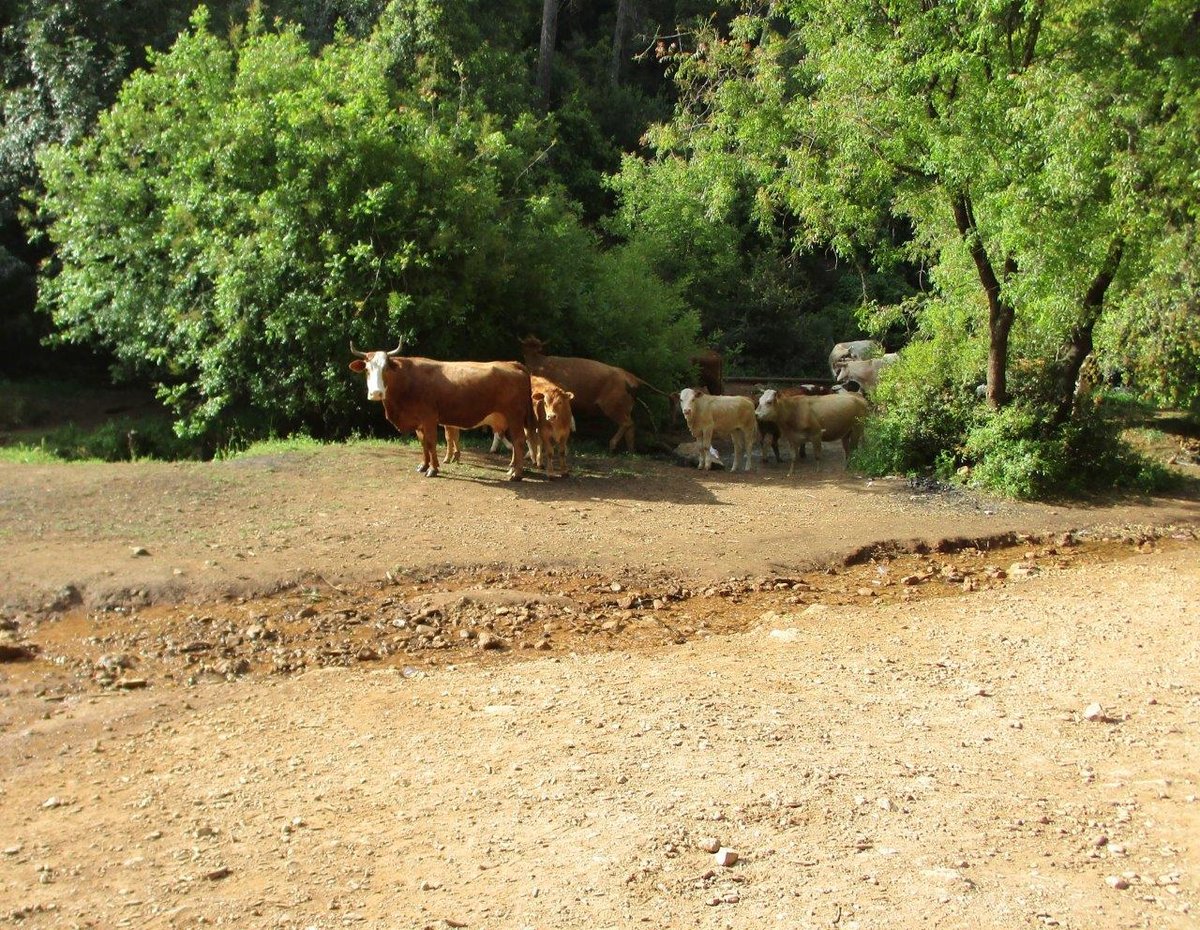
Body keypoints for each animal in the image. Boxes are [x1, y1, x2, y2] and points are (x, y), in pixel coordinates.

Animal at [350, 340, 532, 480]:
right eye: (367, 370)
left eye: (386, 368)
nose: (376, 393)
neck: (408, 381)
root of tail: (512, 364)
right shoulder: (418, 422)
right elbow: (423, 443)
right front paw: (423, 465)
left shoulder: (429, 418)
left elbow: (431, 442)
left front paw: (433, 469)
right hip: (508, 418)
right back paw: (512, 468)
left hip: (515, 416)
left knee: (519, 441)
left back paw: (516, 474)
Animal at [520, 336, 652, 453]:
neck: (538, 361)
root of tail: (629, 376)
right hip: (625, 408)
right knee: (631, 427)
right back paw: (631, 451)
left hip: (612, 407)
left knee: (627, 423)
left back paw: (612, 445)